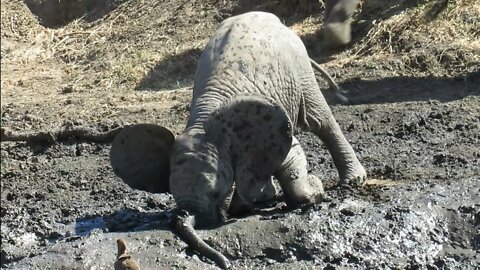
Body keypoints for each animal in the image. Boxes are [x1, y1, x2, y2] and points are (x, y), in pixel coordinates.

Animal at [111, 11, 368, 268]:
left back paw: (353, 179)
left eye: (216, 193)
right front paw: (248, 203)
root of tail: (273, 19)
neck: (203, 125)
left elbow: (292, 154)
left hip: (300, 68)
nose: (226, 263)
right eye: (172, 192)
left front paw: (314, 188)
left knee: (320, 120)